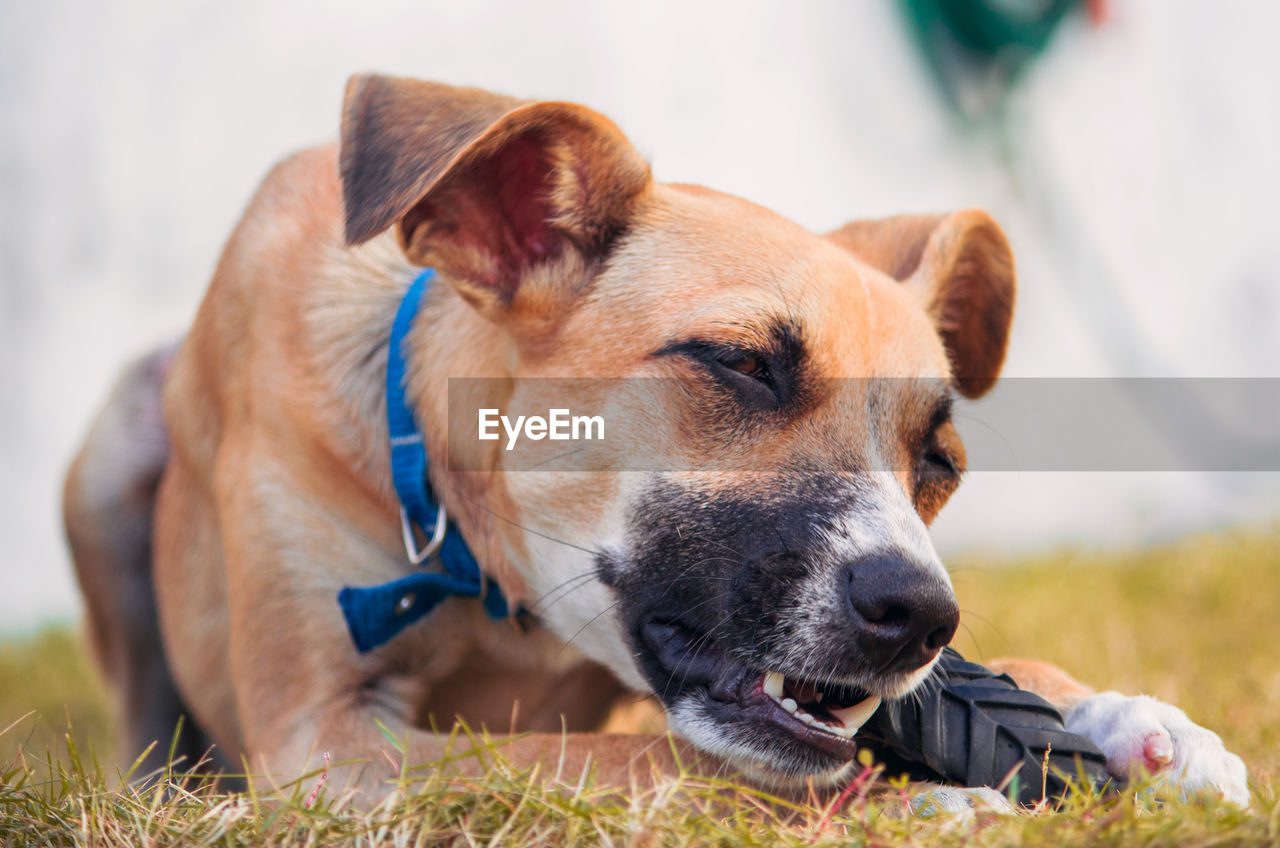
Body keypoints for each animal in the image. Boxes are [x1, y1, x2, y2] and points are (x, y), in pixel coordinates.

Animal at [64, 74, 1244, 809]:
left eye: (938, 462)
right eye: (740, 364)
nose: (922, 617)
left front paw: (1136, 721)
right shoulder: (328, 737)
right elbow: (630, 757)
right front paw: (918, 804)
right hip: (109, 459)